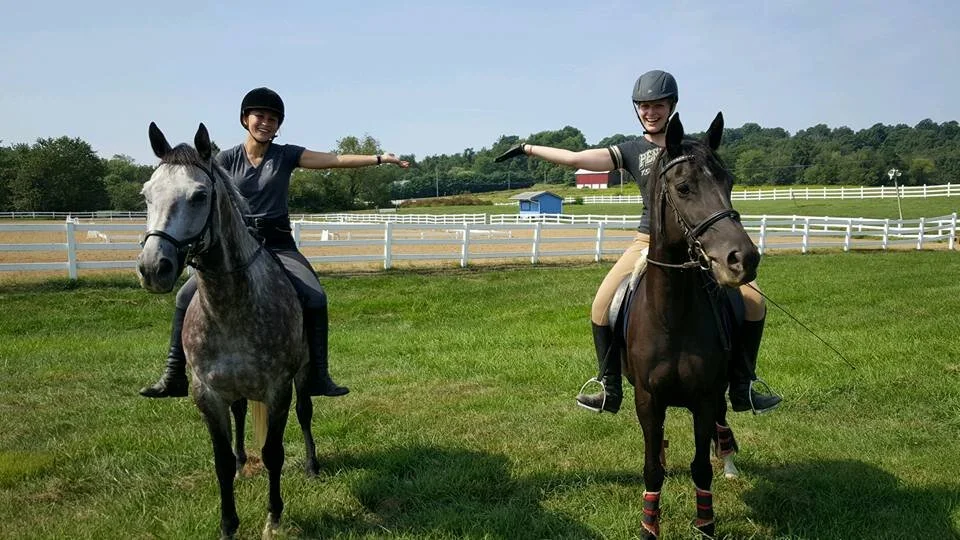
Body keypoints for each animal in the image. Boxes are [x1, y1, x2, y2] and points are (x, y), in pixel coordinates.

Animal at [136, 123, 319, 539]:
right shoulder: (207, 393)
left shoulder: (278, 389)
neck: (231, 305)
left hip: (302, 375)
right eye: (146, 195)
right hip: (233, 388)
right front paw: (228, 524)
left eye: (199, 195)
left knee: (305, 412)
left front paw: (273, 517)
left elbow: (273, 453)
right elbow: (218, 460)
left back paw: (313, 465)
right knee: (239, 414)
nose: (154, 268)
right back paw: (239, 462)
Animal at [624, 112, 759, 538]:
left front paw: (706, 524)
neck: (672, 317)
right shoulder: (648, 400)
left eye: (729, 183)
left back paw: (729, 463)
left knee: (722, 424)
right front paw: (649, 526)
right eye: (683, 188)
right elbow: (652, 468)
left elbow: (701, 467)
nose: (743, 259)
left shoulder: (704, 396)